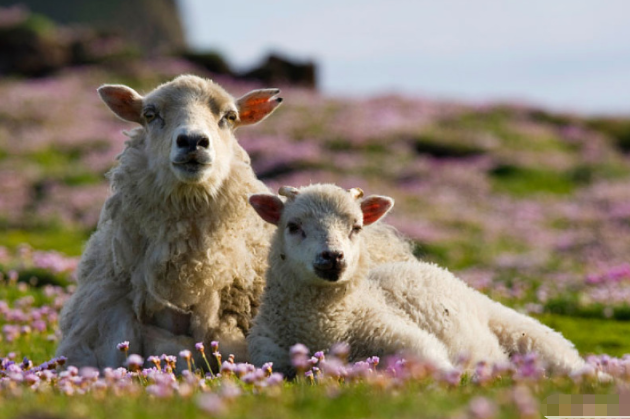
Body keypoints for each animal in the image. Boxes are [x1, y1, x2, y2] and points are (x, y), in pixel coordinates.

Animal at [247, 184, 588, 378]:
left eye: (356, 227)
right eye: (293, 226)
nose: (333, 257)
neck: (325, 325)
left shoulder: (409, 339)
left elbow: (439, 367)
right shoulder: (268, 358)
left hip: (532, 338)